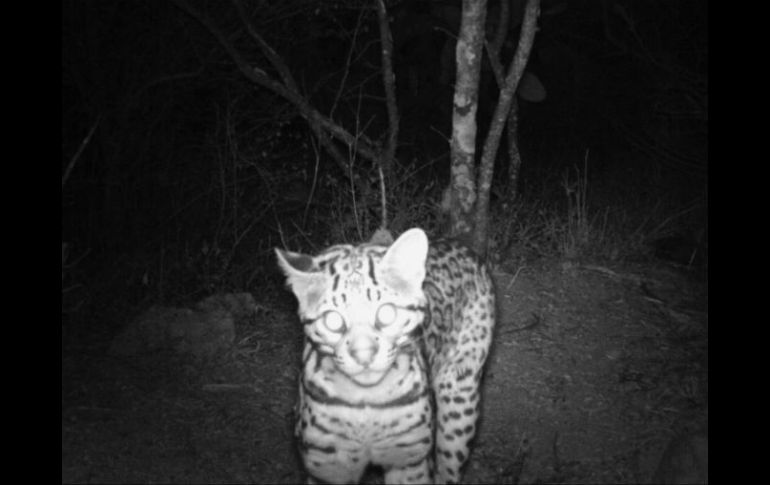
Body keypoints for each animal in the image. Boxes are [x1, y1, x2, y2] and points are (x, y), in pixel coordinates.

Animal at [274, 228, 492, 484]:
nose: (363, 355)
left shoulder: (410, 460)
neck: (367, 400)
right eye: (333, 320)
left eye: (386, 313)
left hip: (459, 393)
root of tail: (459, 244)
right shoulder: (327, 467)